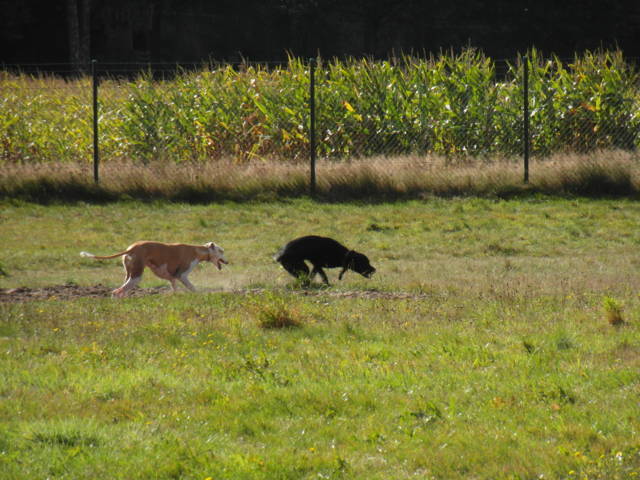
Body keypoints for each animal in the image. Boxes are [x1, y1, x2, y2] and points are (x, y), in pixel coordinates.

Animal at [81, 242, 228, 298]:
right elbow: (192, 288)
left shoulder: (172, 278)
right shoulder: (182, 275)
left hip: (129, 274)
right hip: (136, 276)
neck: (196, 250)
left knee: (121, 290)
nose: (228, 261)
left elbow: (174, 287)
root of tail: (131, 248)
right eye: (221, 251)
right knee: (117, 291)